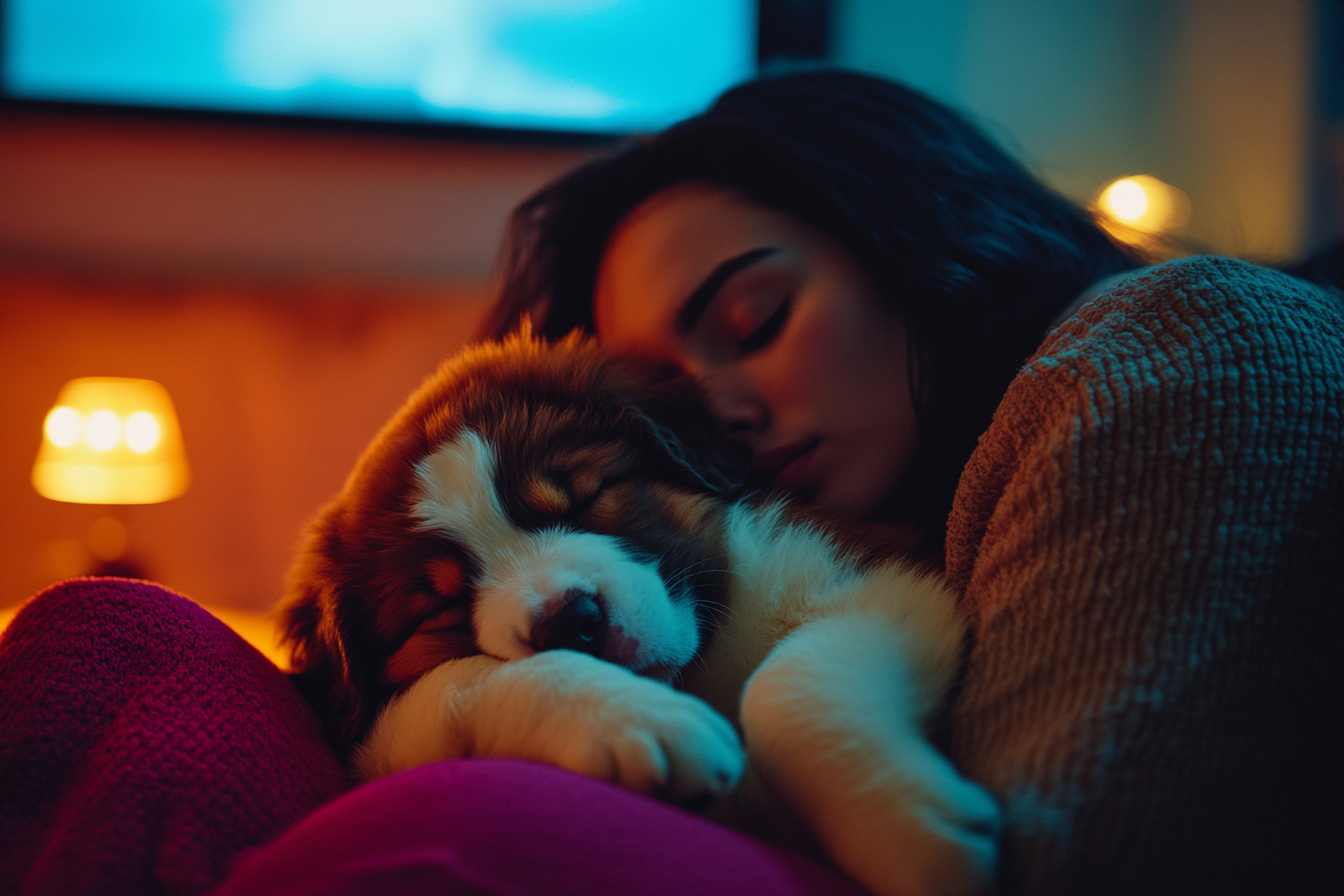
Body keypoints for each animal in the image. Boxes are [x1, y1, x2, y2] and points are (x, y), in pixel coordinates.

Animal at [280, 329, 999, 896]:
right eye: (444, 603)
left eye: (586, 497)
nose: (569, 623)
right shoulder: (378, 741)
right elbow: (466, 681)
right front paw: (637, 720)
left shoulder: (879, 573)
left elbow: (788, 688)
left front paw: (913, 839)